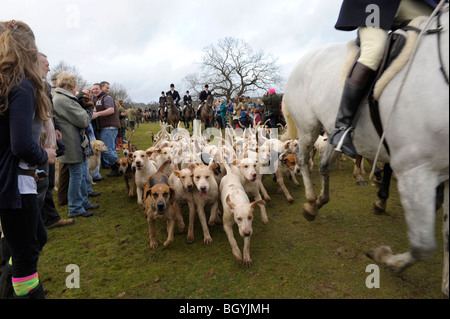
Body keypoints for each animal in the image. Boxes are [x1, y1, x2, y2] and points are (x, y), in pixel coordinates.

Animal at [284, 9, 448, 298]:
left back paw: (320, 201)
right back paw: (310, 201)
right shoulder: (416, 168)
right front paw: (387, 257)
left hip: (331, 129)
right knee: (303, 161)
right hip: (308, 127)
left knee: (324, 164)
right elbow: (423, 245)